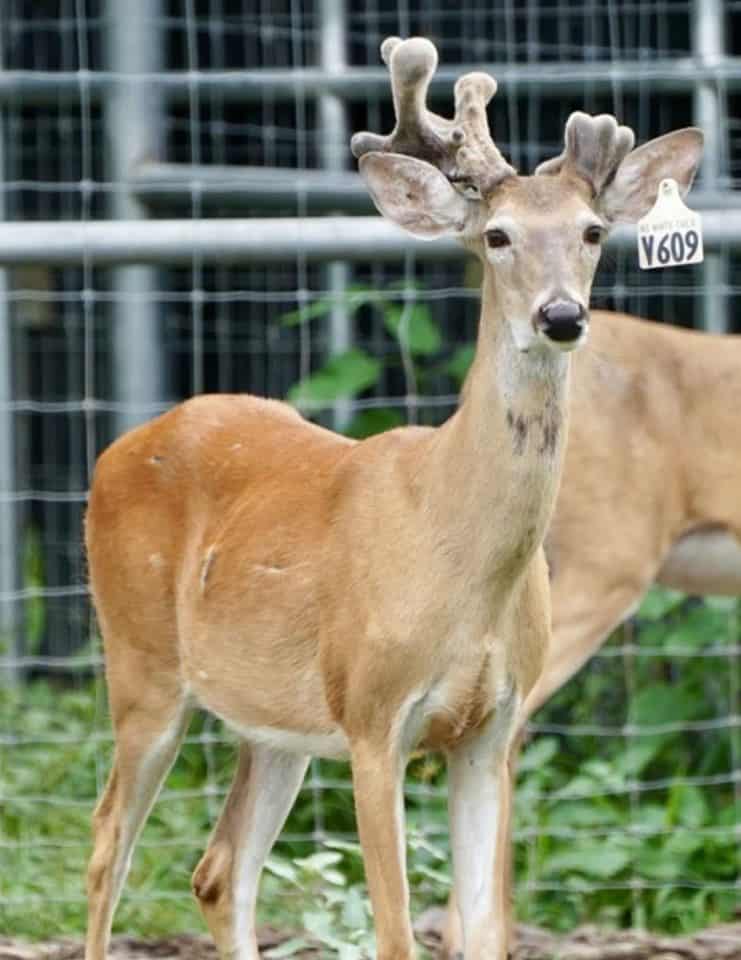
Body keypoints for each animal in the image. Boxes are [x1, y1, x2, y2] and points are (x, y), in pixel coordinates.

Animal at [84, 36, 702, 960]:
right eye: (496, 235)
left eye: (592, 231)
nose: (560, 316)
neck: (457, 556)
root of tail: (115, 452)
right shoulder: (374, 717)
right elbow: (395, 931)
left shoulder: (491, 727)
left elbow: (481, 931)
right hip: (141, 663)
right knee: (107, 846)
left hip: (273, 717)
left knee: (219, 868)